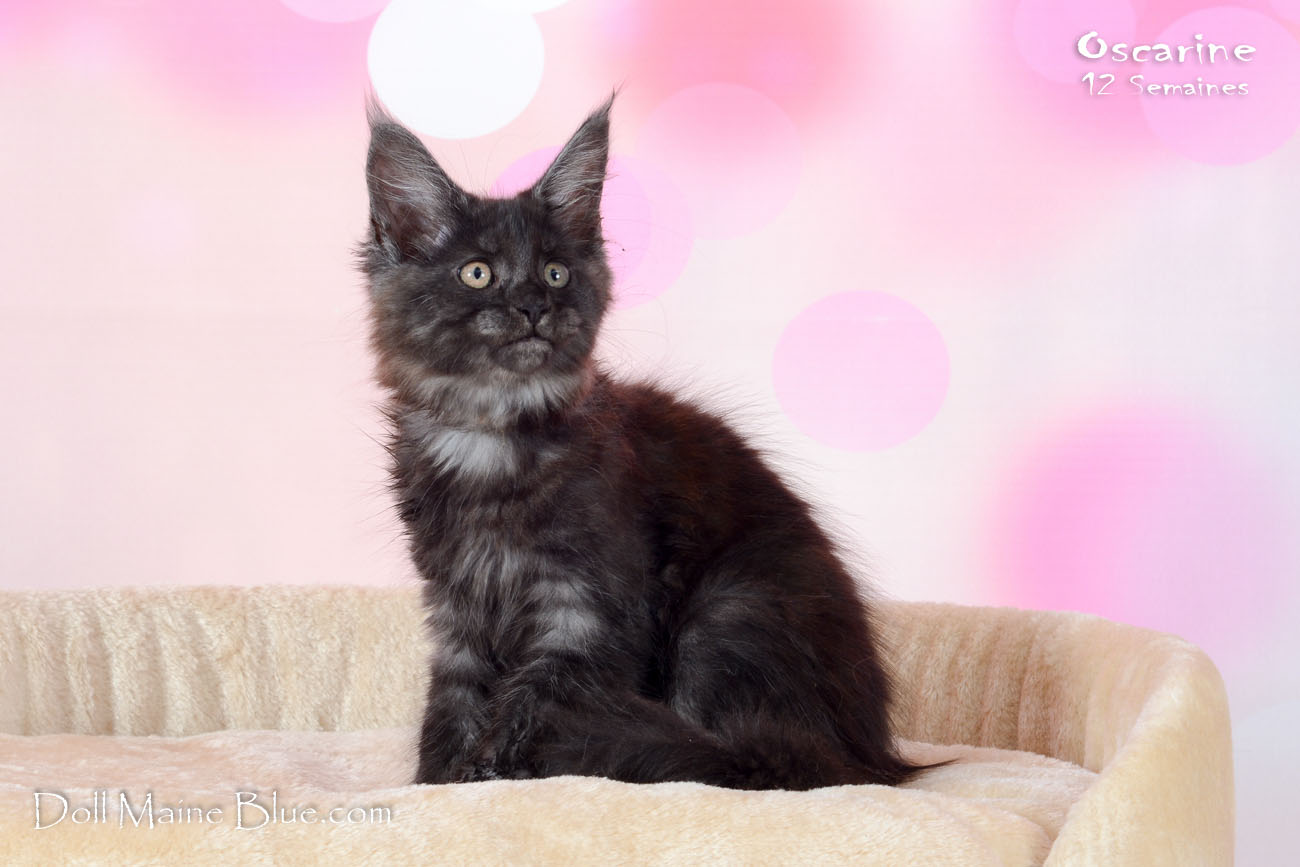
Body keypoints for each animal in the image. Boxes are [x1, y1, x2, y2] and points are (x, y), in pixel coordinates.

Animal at [359, 96, 927, 790]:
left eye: (556, 272)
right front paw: (437, 780)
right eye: (477, 273)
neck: (489, 436)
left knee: (751, 761)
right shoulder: (456, 601)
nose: (534, 307)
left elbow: (530, 699)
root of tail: (868, 758)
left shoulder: (586, 607)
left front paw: (489, 772)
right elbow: (455, 698)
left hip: (728, 607)